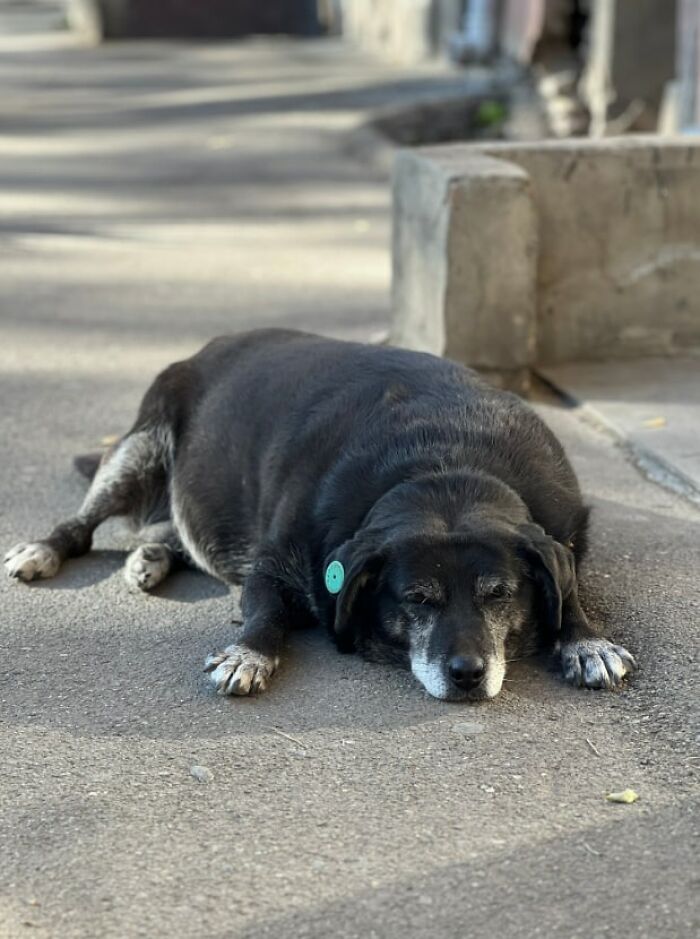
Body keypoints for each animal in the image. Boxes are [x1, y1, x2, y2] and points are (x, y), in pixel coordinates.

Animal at [4, 328, 636, 696]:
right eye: (416, 599)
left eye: (499, 594)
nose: (467, 675)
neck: (444, 461)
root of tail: (206, 347)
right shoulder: (269, 565)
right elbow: (266, 613)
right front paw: (249, 653)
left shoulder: (559, 535)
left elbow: (568, 586)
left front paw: (585, 640)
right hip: (139, 448)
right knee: (84, 525)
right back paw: (46, 549)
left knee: (174, 532)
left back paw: (151, 556)